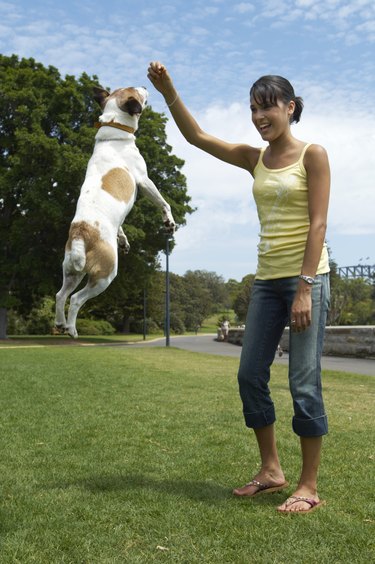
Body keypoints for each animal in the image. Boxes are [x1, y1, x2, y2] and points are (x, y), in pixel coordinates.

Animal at [55, 86, 176, 338]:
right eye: (137, 91)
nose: (146, 86)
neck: (114, 128)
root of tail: (81, 232)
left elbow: (121, 227)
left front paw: (124, 240)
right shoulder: (144, 180)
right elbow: (164, 203)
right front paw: (169, 222)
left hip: (72, 271)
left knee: (60, 295)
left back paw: (60, 324)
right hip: (105, 275)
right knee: (76, 299)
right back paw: (72, 329)